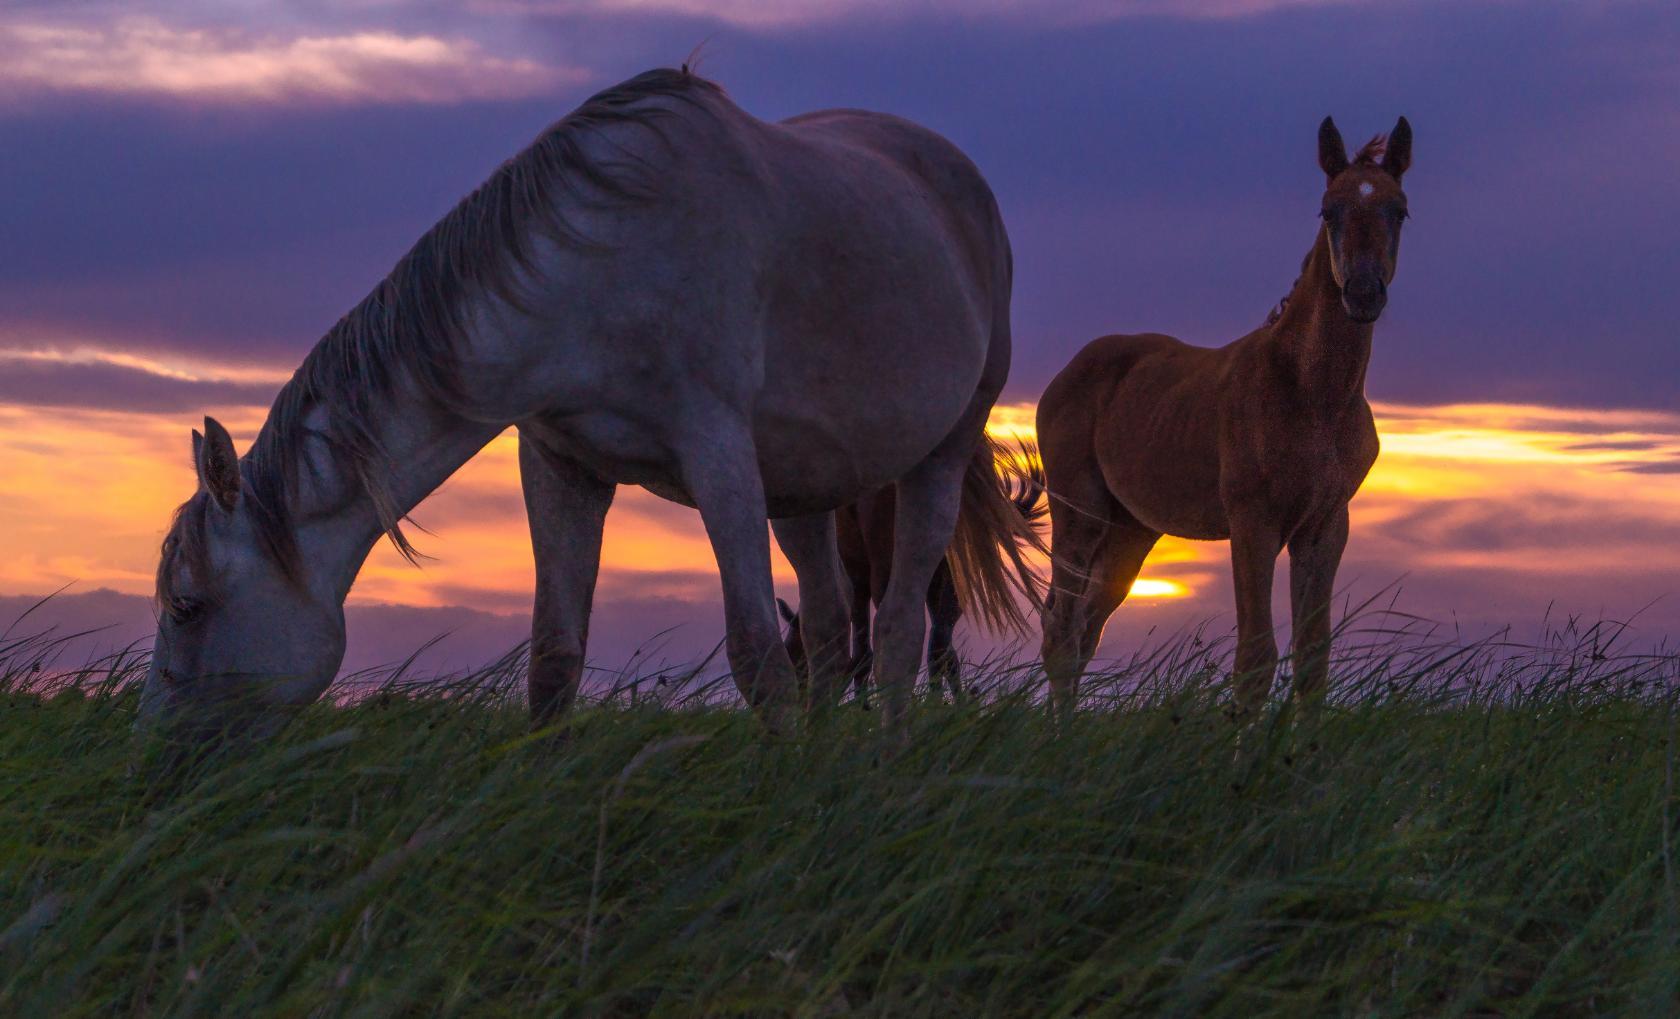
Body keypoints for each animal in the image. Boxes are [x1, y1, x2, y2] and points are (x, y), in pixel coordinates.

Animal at [144, 65, 1034, 748]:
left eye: (186, 606)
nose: (153, 762)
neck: (602, 263)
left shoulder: (718, 456)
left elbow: (755, 656)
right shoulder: (561, 467)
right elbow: (553, 660)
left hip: (940, 455)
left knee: (900, 632)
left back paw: (885, 768)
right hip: (804, 488)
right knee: (826, 628)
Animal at [1034, 117, 1417, 725]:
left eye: (1398, 210)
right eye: (1327, 210)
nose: (1361, 293)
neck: (1313, 397)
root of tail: (1068, 372)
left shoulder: (1325, 527)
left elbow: (1314, 659)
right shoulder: (1252, 522)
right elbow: (1255, 658)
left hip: (1131, 530)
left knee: (1087, 627)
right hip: (1081, 514)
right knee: (1061, 631)